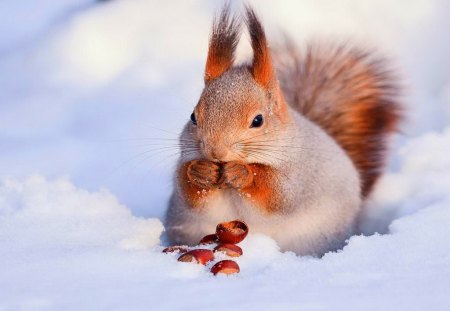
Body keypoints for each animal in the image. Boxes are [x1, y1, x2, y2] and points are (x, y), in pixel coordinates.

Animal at [164, 4, 400, 258]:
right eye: (193, 117)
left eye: (258, 120)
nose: (216, 152)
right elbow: (187, 190)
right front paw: (200, 171)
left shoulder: (299, 174)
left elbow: (277, 195)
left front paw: (242, 173)